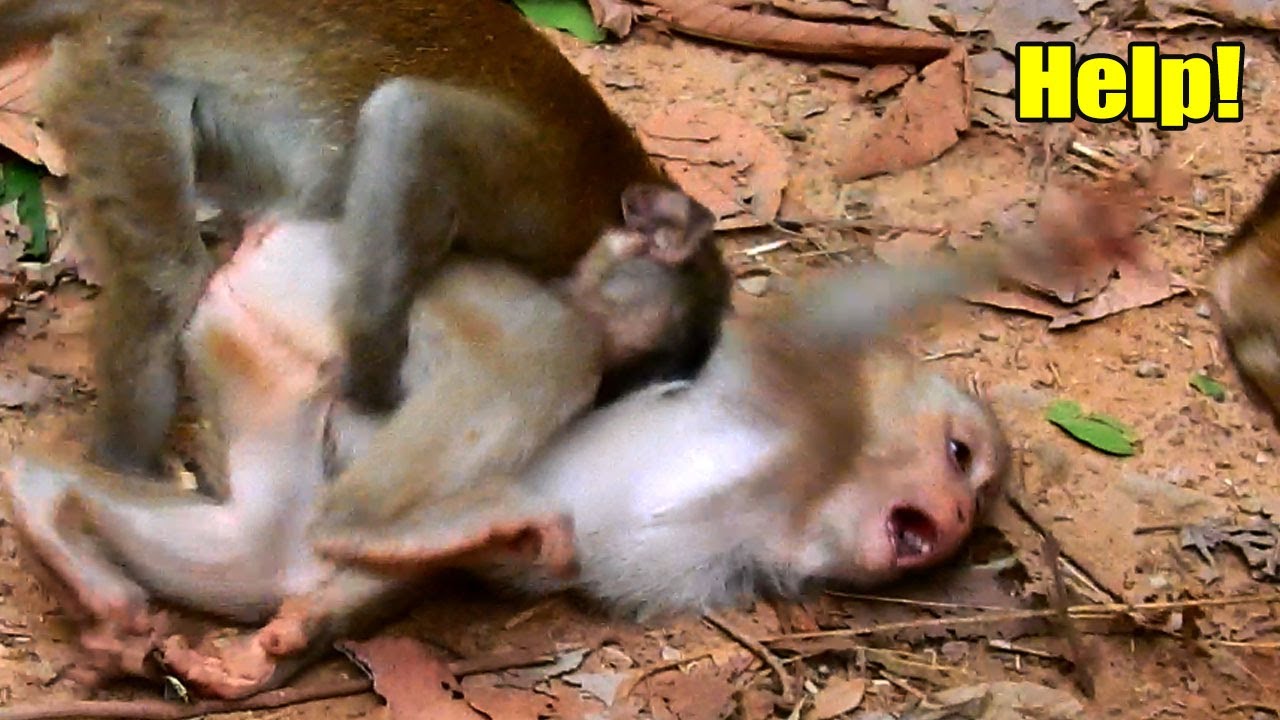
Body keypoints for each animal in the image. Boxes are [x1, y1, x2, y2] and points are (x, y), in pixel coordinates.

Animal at [0, 0, 731, 476]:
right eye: (630, 363)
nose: (596, 400)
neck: (607, 198)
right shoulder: (542, 203)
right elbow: (414, 122)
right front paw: (377, 390)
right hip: (117, 75)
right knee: (165, 276)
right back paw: (125, 472)